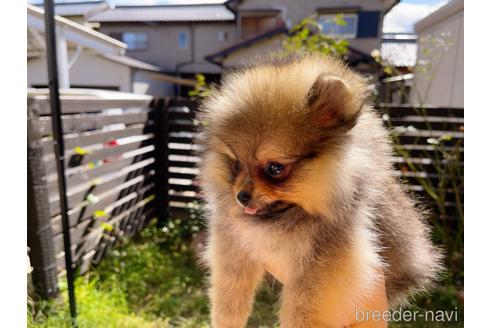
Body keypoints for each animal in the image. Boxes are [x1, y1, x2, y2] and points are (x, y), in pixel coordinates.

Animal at [195, 55, 442, 326]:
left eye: (275, 168)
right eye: (236, 164)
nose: (241, 196)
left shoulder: (322, 266)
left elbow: (302, 310)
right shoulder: (234, 243)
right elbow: (230, 293)